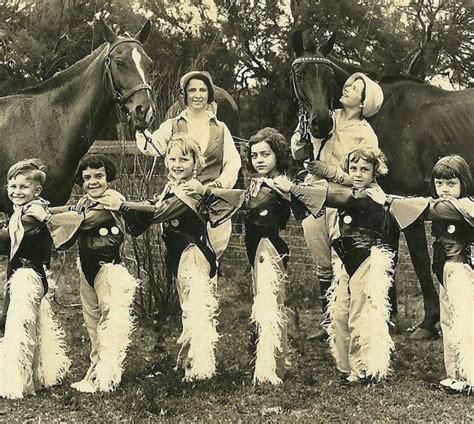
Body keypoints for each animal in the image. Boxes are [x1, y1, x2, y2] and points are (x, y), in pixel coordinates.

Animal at [290, 29, 472, 338]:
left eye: (328, 76)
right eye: (300, 74)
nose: (320, 123)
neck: (381, 113)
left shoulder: (408, 202)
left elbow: (418, 260)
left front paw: (427, 323)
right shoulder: (384, 200)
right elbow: (389, 255)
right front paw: (388, 314)